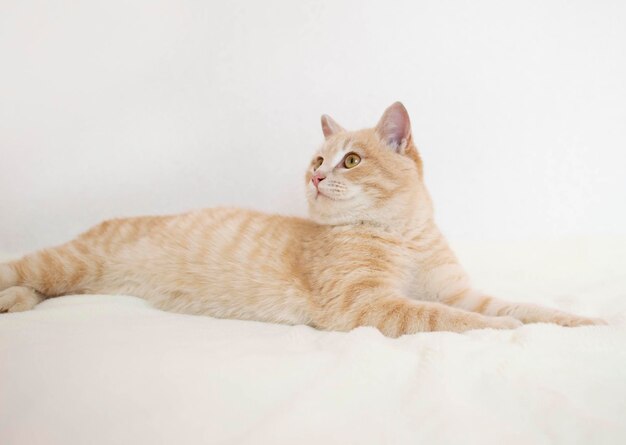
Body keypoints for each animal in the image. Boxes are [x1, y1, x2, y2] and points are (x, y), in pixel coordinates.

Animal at [0, 102, 604, 334]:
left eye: (351, 160)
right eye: (318, 160)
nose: (315, 178)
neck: (402, 236)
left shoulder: (459, 290)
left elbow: (520, 306)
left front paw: (580, 322)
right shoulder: (367, 305)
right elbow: (445, 318)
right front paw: (502, 331)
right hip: (66, 262)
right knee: (22, 268)